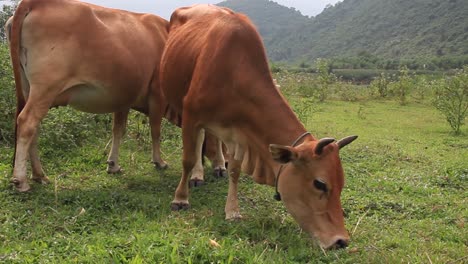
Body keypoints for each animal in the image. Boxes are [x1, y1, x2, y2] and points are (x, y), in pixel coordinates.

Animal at [7, 0, 170, 191]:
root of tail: (35, 3)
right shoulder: (158, 93)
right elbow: (155, 130)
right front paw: (159, 161)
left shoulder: (124, 97)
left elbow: (118, 129)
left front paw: (113, 165)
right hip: (45, 88)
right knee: (27, 122)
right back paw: (21, 180)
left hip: (29, 88)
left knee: (34, 127)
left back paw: (39, 175)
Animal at [161, 6, 358, 250]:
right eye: (320, 184)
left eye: (342, 183)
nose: (340, 240)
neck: (233, 71)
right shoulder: (191, 115)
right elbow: (187, 159)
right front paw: (180, 198)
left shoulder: (240, 133)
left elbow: (235, 170)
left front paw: (232, 211)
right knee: (197, 144)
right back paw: (196, 175)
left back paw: (216, 167)